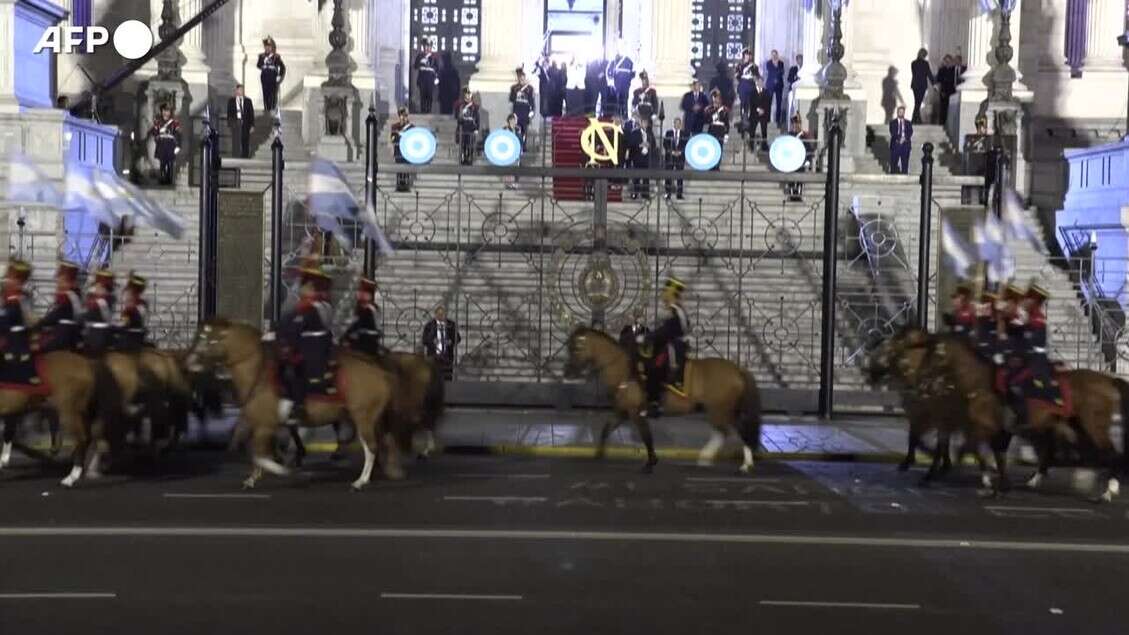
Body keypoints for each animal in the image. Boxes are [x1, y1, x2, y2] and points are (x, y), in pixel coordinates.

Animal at [0, 350, 122, 483]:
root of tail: (88, 363)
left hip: (69, 412)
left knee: (83, 438)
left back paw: (71, 478)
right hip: (85, 412)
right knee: (94, 437)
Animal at [185, 320, 397, 490]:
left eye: (209, 340)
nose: (189, 362)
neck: (257, 371)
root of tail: (380, 371)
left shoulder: (265, 425)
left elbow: (260, 455)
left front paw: (287, 471)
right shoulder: (263, 425)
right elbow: (260, 453)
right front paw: (253, 478)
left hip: (363, 417)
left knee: (371, 447)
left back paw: (361, 481)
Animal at [562, 325, 763, 470]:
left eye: (576, 348)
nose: (568, 372)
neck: (624, 369)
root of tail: (738, 370)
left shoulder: (635, 412)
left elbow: (646, 436)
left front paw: (651, 461)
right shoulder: (622, 411)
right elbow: (606, 430)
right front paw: (598, 454)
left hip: (721, 409)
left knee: (735, 430)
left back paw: (745, 464)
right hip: (718, 410)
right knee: (724, 432)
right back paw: (707, 458)